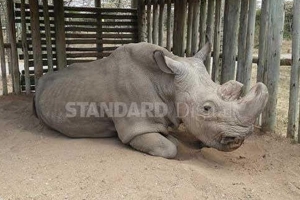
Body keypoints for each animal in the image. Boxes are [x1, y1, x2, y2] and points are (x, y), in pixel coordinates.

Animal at [34, 42, 268, 158]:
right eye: (206, 108)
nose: (239, 138)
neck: (167, 82)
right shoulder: (136, 127)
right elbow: (169, 148)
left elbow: (173, 138)